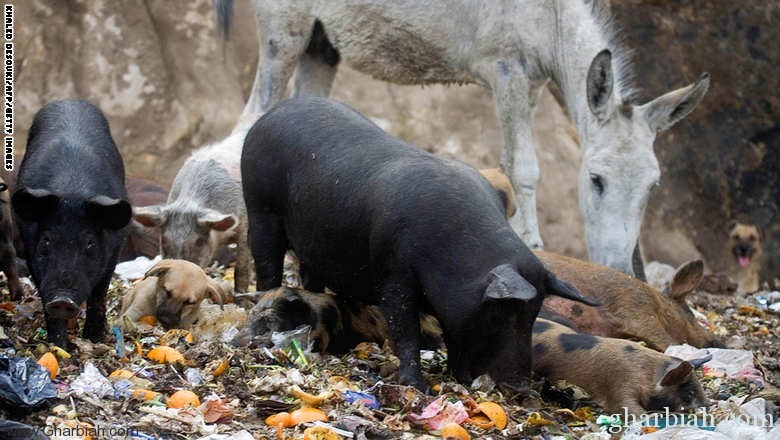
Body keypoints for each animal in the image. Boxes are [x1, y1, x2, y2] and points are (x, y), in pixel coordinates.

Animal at [12, 99, 132, 348]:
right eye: (46, 241)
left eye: (90, 243)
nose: (62, 299)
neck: (71, 192)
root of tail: (69, 101)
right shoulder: (30, 250)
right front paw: (58, 346)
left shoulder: (115, 249)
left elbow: (99, 295)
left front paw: (95, 339)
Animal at [216, 0, 708, 276]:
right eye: (596, 180)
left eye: (652, 187)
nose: (618, 270)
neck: (548, 15)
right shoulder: (507, 70)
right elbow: (523, 167)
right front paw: (532, 246)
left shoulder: (528, 86)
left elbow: (513, 162)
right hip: (285, 34)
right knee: (250, 118)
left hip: (322, 45)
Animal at [241, 98, 600, 394]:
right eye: (500, 314)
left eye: (533, 314)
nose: (521, 388)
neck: (454, 254)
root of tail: (270, 115)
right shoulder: (393, 275)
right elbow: (407, 332)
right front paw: (418, 388)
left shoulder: (453, 310)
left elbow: (454, 338)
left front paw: (462, 381)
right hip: (260, 208)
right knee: (267, 263)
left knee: (310, 275)